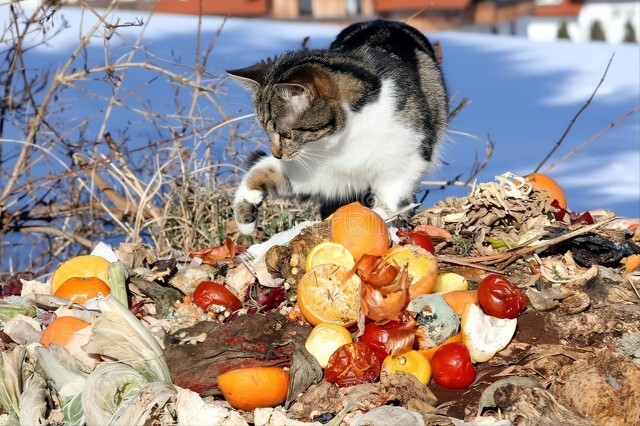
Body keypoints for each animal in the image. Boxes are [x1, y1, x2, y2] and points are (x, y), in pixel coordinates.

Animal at [228, 18, 448, 235]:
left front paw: (380, 217)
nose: (277, 154)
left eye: (286, 134)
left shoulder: (408, 159)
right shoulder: (319, 171)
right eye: (265, 130)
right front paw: (245, 215)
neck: (347, 136)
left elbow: (392, 195)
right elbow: (263, 170)